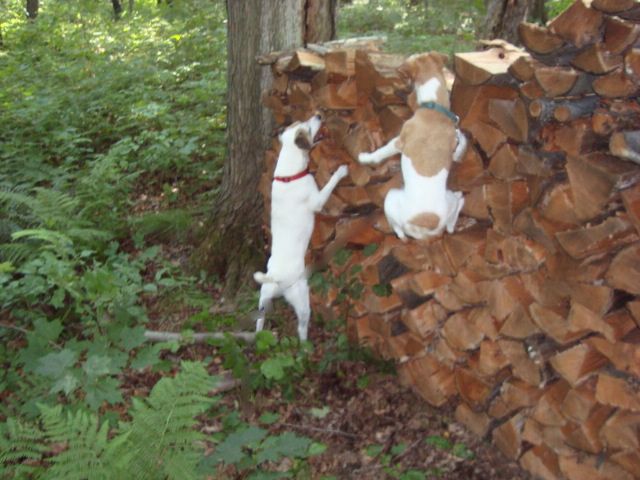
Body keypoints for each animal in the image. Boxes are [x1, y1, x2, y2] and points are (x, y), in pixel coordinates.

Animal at [252, 114, 348, 340]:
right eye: (308, 127)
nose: (319, 114)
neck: (289, 175)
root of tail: (276, 279)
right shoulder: (318, 200)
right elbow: (329, 184)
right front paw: (340, 172)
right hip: (302, 300)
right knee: (301, 328)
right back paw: (305, 344)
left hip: (263, 296)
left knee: (260, 317)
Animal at [358, 53, 468, 240]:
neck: (434, 108)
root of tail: (425, 226)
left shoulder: (399, 141)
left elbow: (381, 152)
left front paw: (366, 157)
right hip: (448, 202)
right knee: (452, 221)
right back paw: (459, 199)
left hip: (390, 197)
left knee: (399, 230)